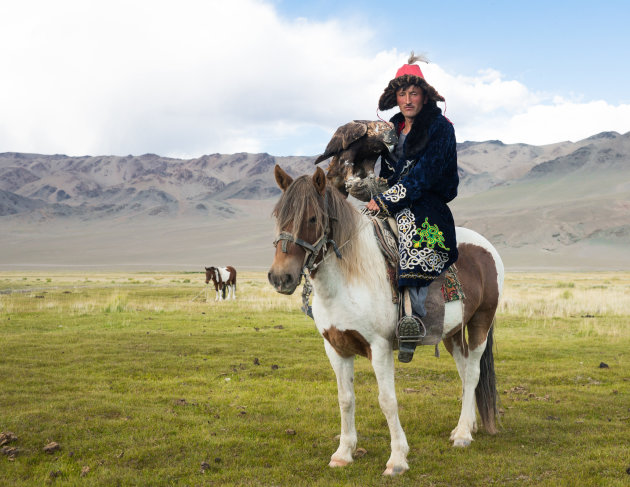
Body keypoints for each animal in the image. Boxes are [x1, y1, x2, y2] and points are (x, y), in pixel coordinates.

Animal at [270, 167, 506, 476]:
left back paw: (464, 435)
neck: (349, 279)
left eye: (312, 218)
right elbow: (345, 399)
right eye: (277, 216)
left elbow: (387, 400)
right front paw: (343, 453)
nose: (280, 277)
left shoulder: (379, 348)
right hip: (453, 332)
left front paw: (397, 459)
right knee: (465, 371)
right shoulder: (336, 348)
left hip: (481, 321)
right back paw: (464, 427)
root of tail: (486, 247)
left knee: (474, 371)